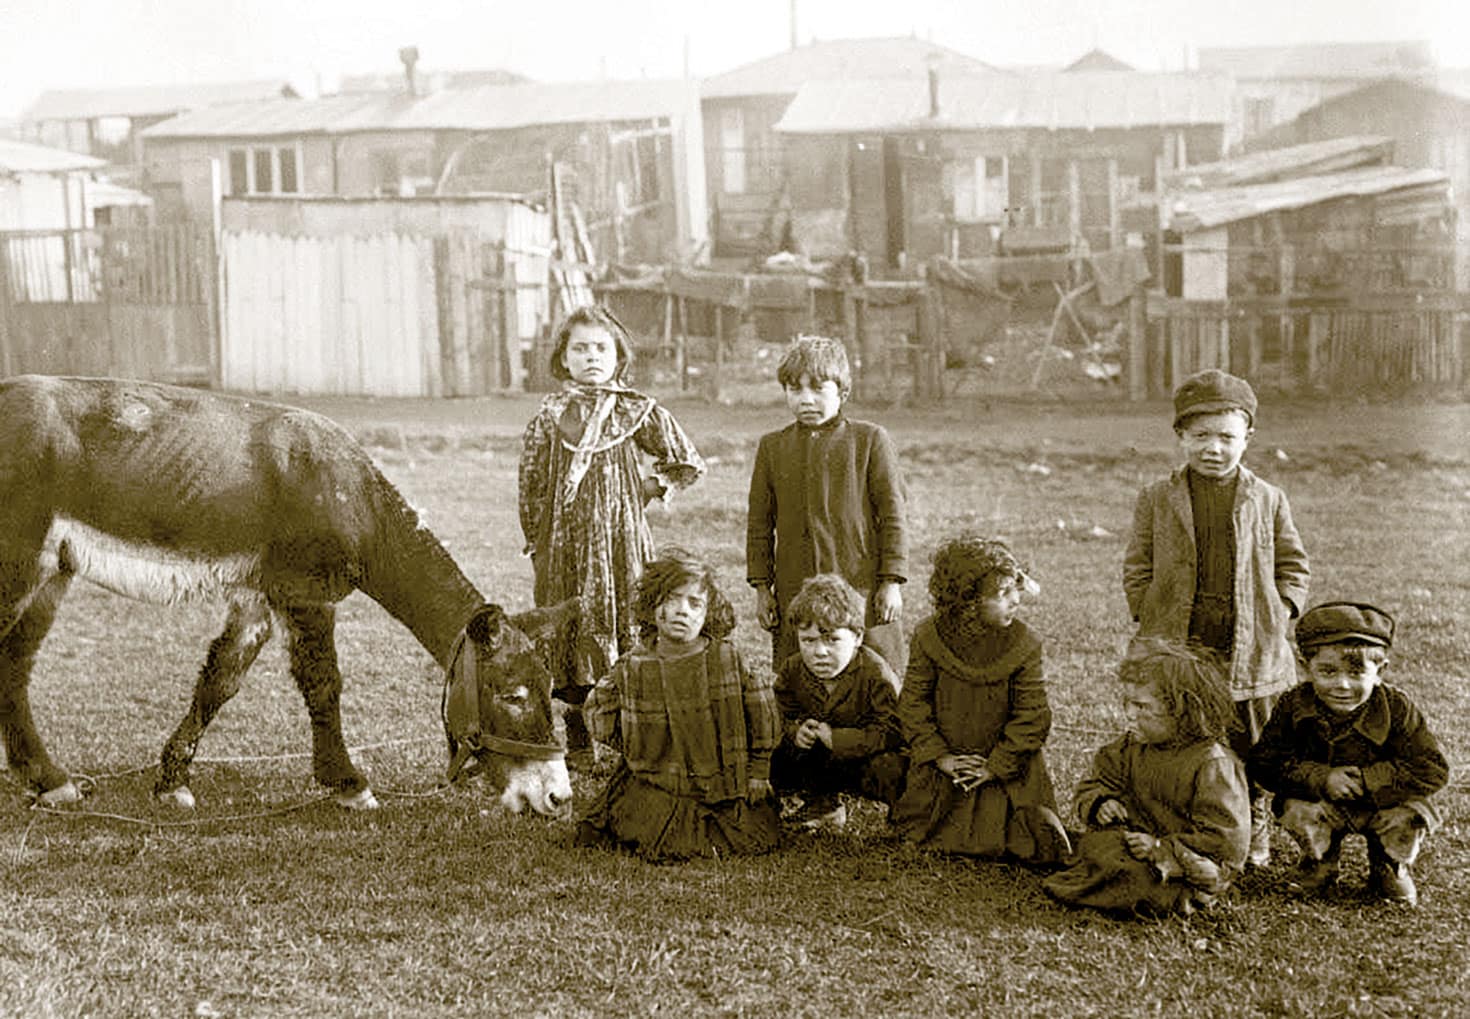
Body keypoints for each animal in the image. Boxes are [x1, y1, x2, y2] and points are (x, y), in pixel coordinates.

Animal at [0, 375, 573, 816]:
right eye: (512, 695)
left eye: (552, 690)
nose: (557, 797)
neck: (353, 498)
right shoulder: (305, 594)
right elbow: (323, 685)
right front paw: (349, 784)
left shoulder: (257, 596)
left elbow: (220, 680)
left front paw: (171, 782)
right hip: (19, 564)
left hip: (53, 573)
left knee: (15, 666)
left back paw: (50, 781)